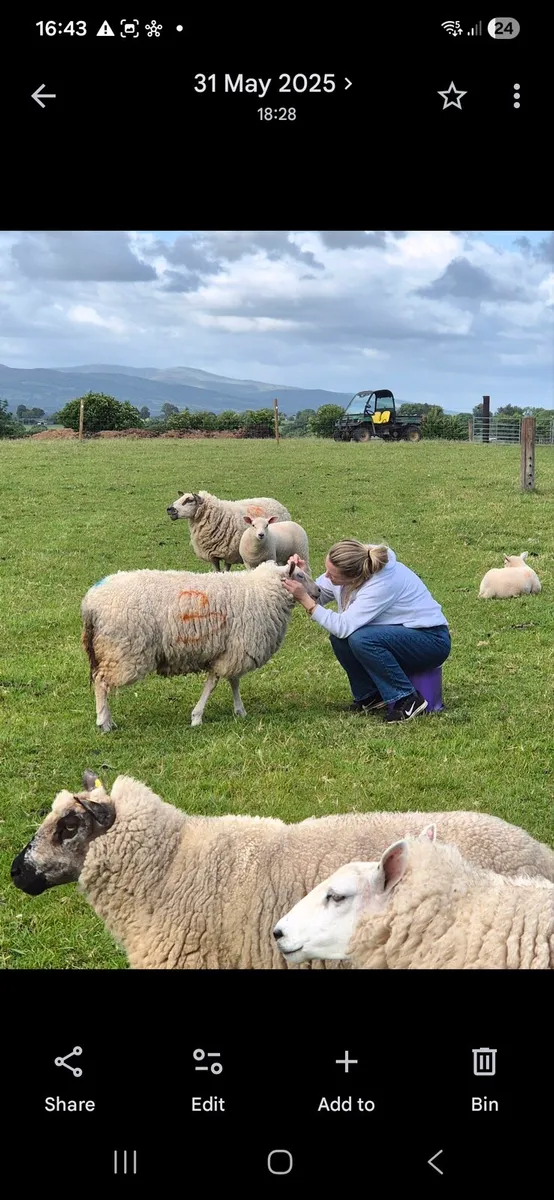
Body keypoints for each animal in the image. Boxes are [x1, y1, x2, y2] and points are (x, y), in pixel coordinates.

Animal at [81, 560, 320, 730]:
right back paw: (104, 722)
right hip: (123, 651)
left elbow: (232, 681)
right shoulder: (234, 650)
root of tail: (90, 602)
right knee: (101, 682)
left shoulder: (229, 649)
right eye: (299, 575)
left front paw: (238, 710)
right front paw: (197, 717)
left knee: (99, 679)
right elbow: (215, 683)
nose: (318, 592)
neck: (261, 591)